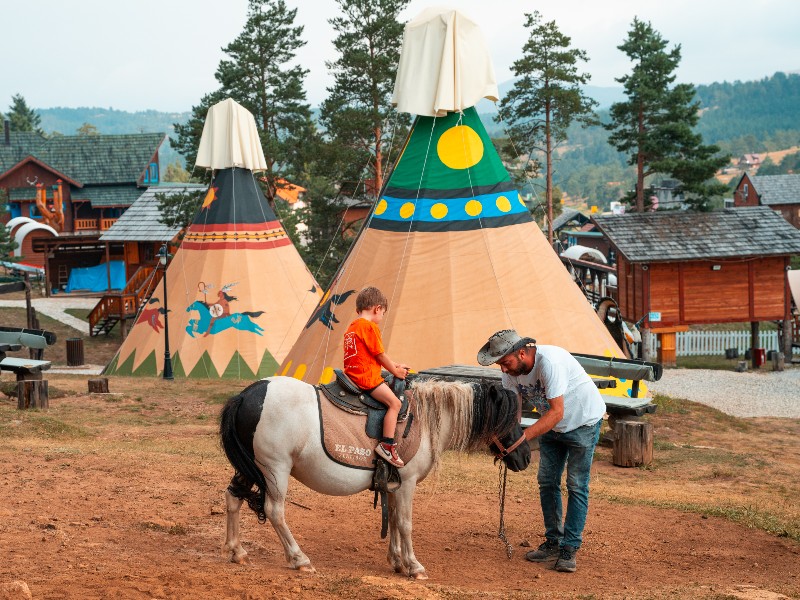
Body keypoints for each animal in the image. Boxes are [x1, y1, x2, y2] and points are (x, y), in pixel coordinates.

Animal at [220, 378, 532, 580]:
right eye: (509, 419)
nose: (526, 457)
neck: (426, 419)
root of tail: (247, 395)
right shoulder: (406, 483)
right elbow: (404, 523)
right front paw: (414, 566)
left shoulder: (393, 485)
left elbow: (392, 520)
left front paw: (397, 561)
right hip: (275, 469)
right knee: (275, 511)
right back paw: (299, 559)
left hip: (251, 468)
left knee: (233, 498)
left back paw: (237, 551)